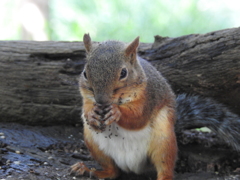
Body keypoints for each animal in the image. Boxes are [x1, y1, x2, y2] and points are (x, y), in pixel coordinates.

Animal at [70, 34, 240, 180]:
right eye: (85, 73)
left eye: (123, 73)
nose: (101, 100)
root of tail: (133, 167)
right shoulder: (87, 98)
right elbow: (86, 110)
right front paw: (92, 115)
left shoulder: (148, 99)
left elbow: (138, 118)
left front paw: (116, 112)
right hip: (94, 143)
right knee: (113, 171)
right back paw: (89, 170)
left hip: (164, 142)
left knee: (165, 168)